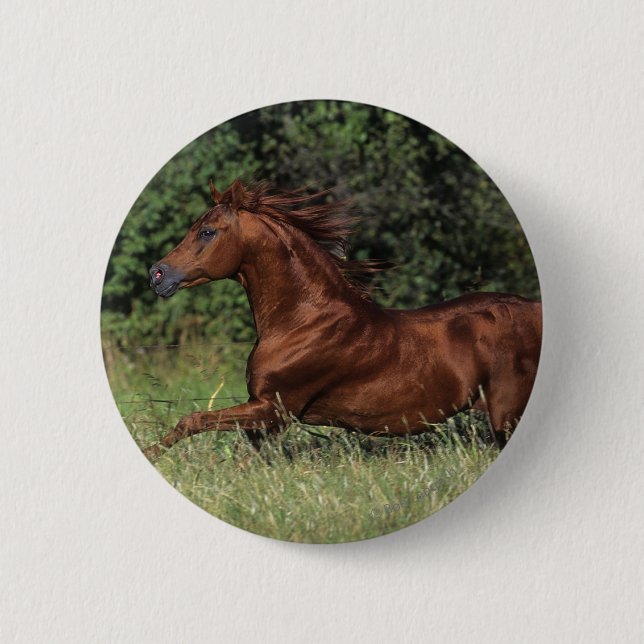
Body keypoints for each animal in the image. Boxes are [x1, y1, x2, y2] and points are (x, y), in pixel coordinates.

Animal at [144, 179, 542, 460]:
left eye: (207, 231)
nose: (157, 274)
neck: (304, 322)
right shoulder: (266, 417)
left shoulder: (275, 409)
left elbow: (192, 420)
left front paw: (152, 454)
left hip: (505, 414)